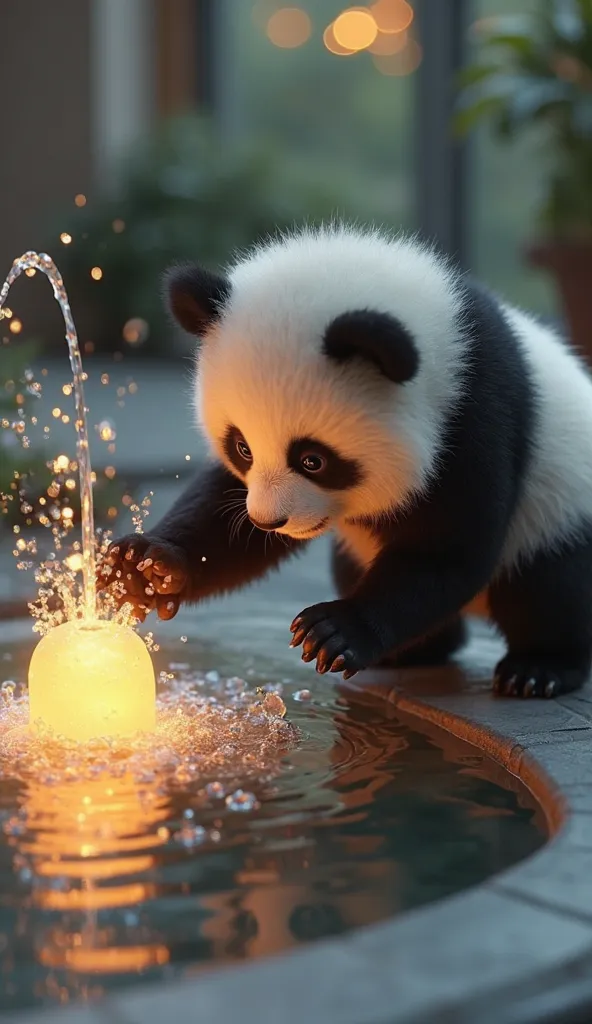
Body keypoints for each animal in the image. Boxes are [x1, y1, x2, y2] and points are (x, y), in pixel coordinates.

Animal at [100, 227, 592, 700]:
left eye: (313, 460)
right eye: (242, 447)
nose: (269, 520)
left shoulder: (472, 417)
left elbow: (449, 549)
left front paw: (334, 632)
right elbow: (223, 515)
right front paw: (147, 567)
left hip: (558, 505)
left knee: (551, 588)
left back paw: (537, 669)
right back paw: (413, 652)